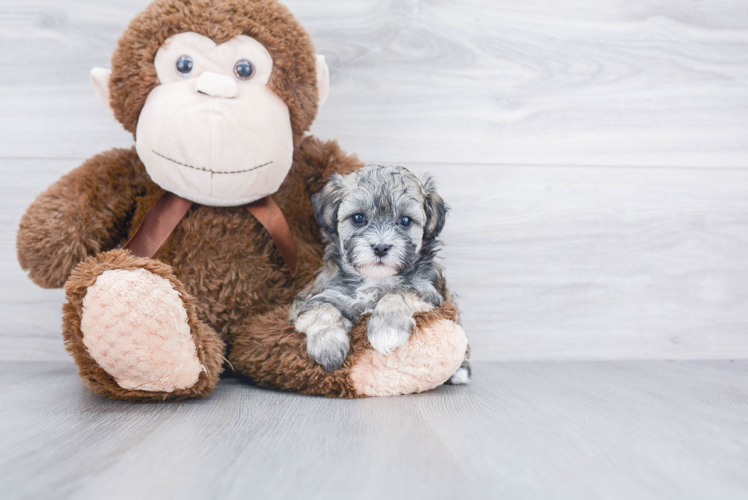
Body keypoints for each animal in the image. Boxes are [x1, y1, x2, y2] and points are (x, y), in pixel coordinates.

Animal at [290, 164, 470, 382]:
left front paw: (387, 329)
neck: (374, 279)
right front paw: (328, 348)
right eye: (358, 218)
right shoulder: (317, 295)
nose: (381, 247)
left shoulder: (428, 291)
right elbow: (321, 308)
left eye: (405, 220)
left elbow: (397, 293)